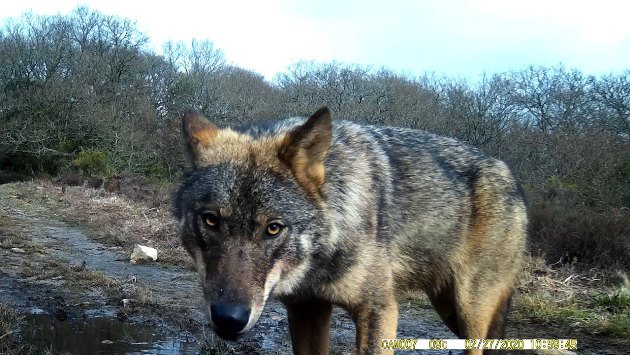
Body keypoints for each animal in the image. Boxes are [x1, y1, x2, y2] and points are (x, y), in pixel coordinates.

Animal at [173, 108, 528, 355]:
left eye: (273, 228)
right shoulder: (307, 310)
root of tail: (510, 175)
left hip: (470, 312)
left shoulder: (379, 310)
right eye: (210, 221)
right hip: (449, 309)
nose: (228, 319)